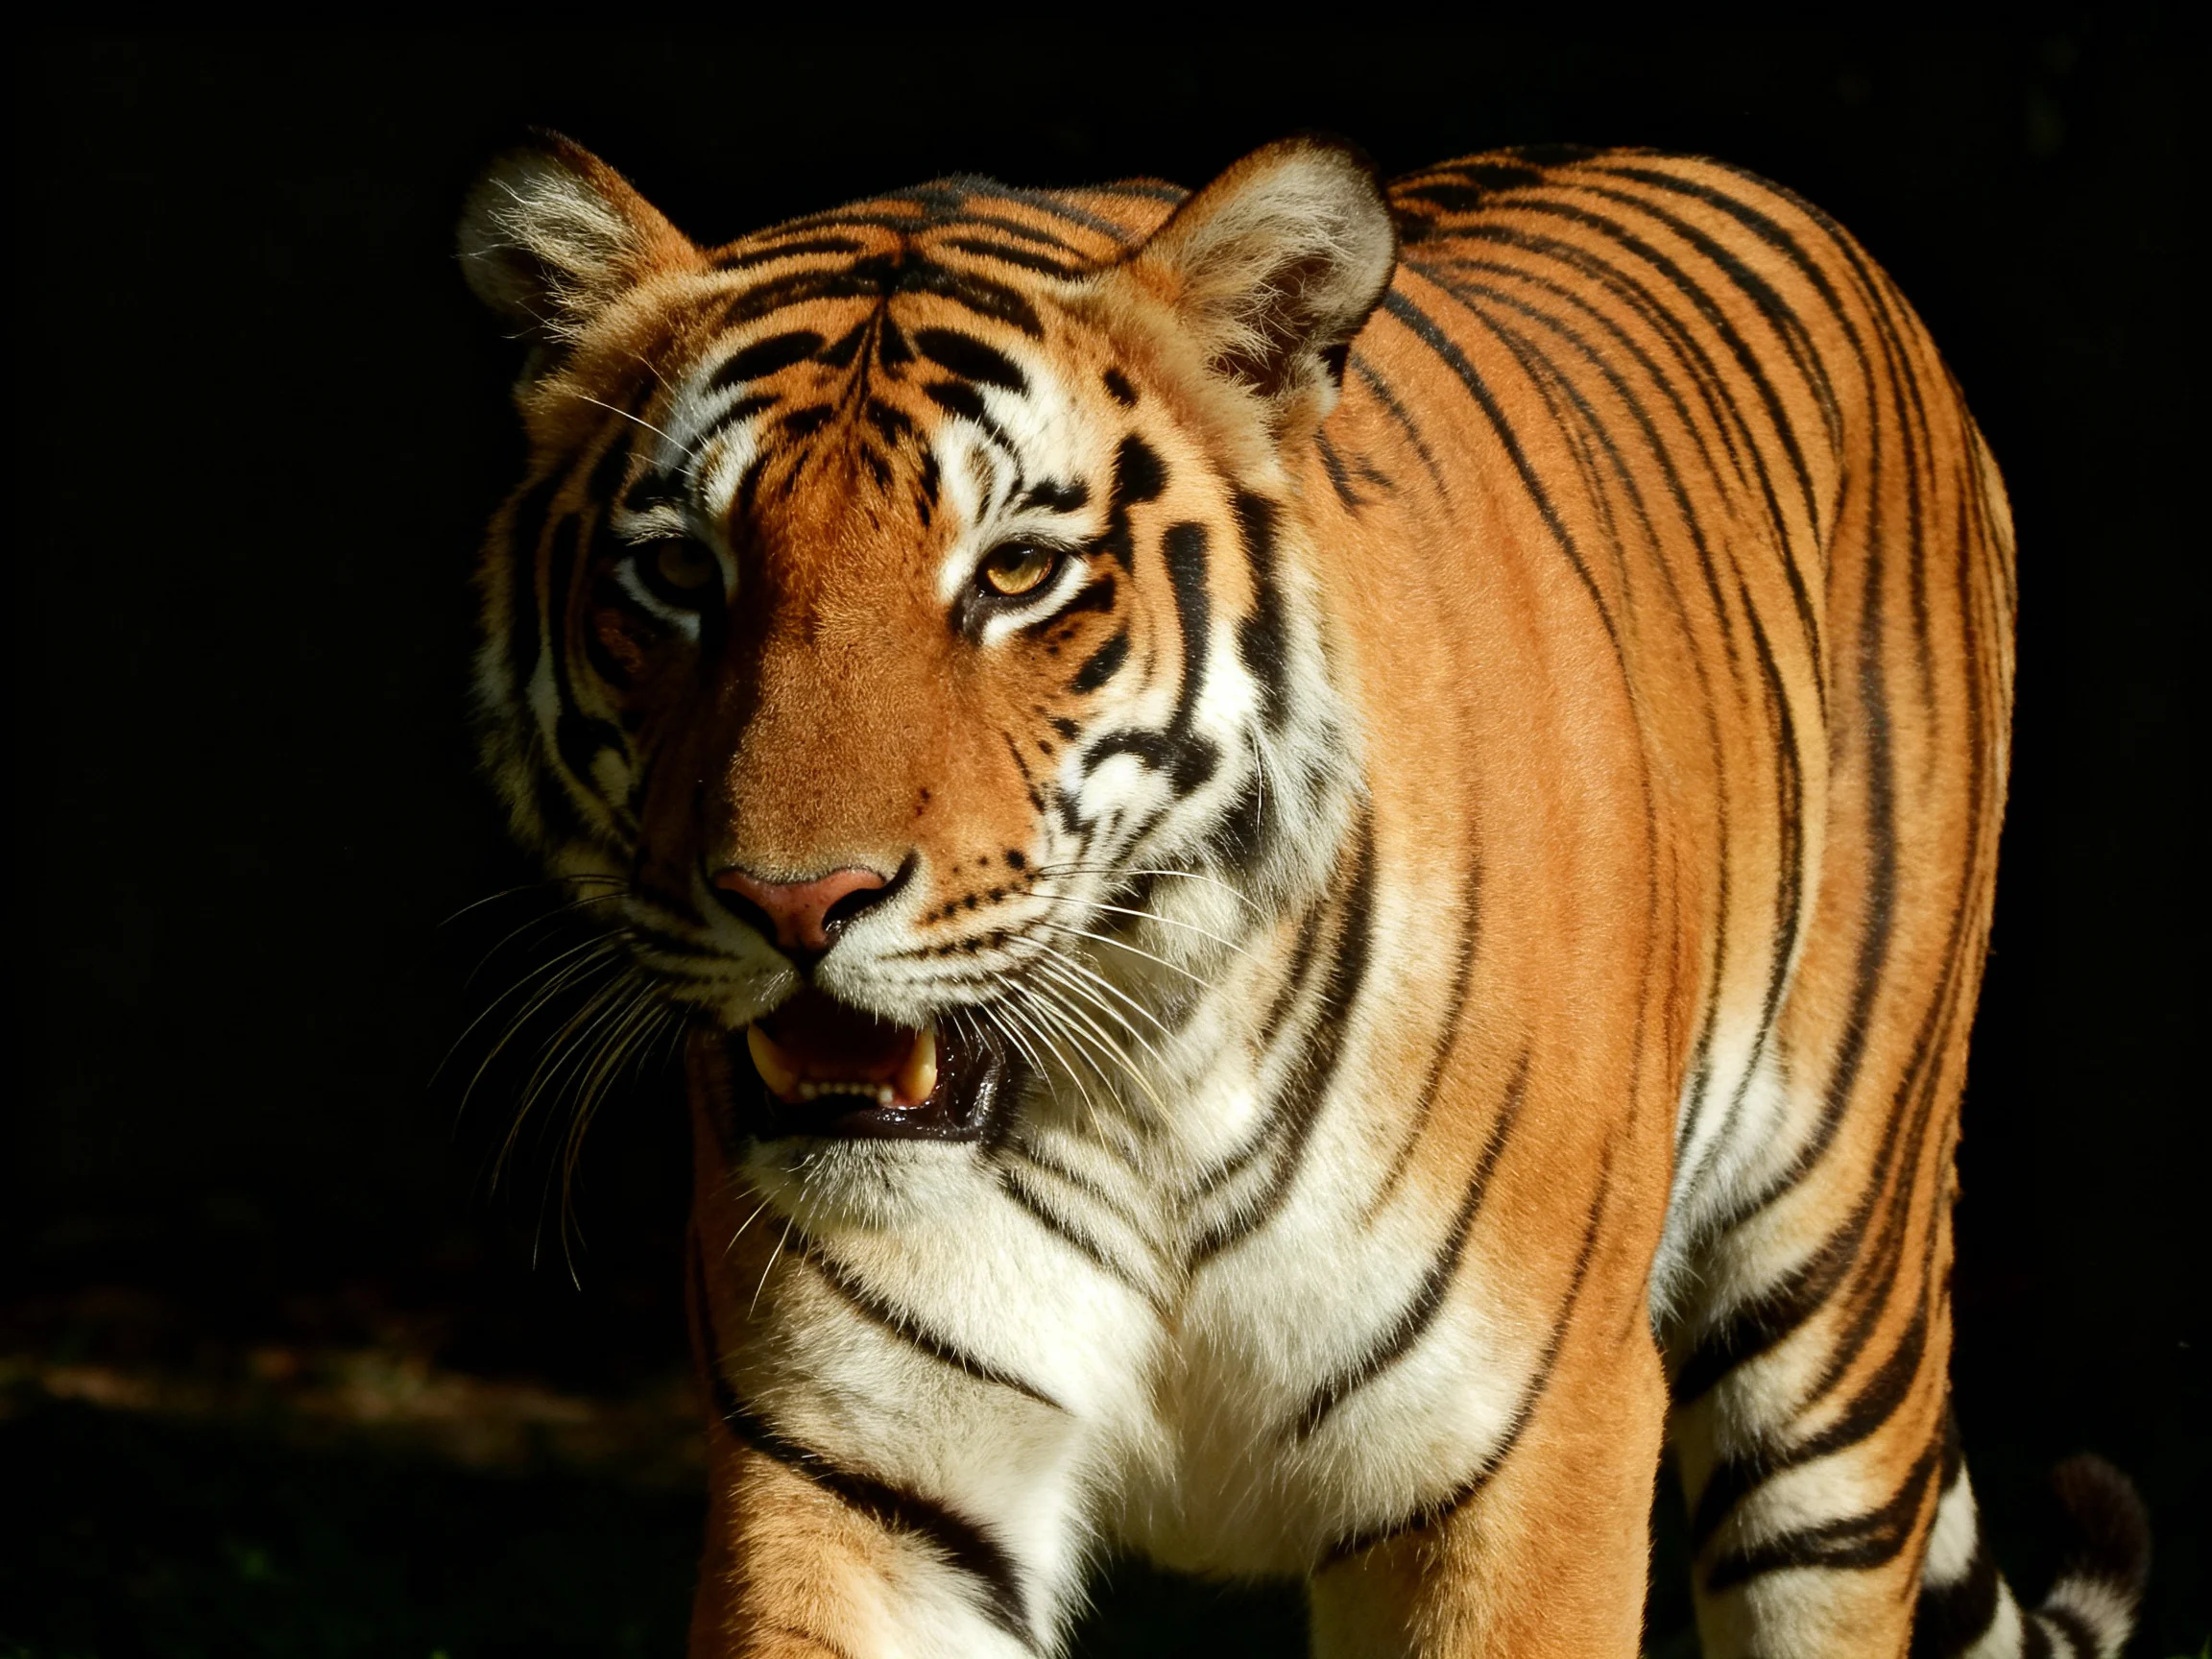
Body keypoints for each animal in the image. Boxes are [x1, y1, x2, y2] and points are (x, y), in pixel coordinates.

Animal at [454, 133, 2150, 1657]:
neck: (1136, 1087)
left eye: (1014, 574)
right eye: (681, 575)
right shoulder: (860, 1468)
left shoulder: (1525, 1451)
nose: (796, 904)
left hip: (1835, 1320)